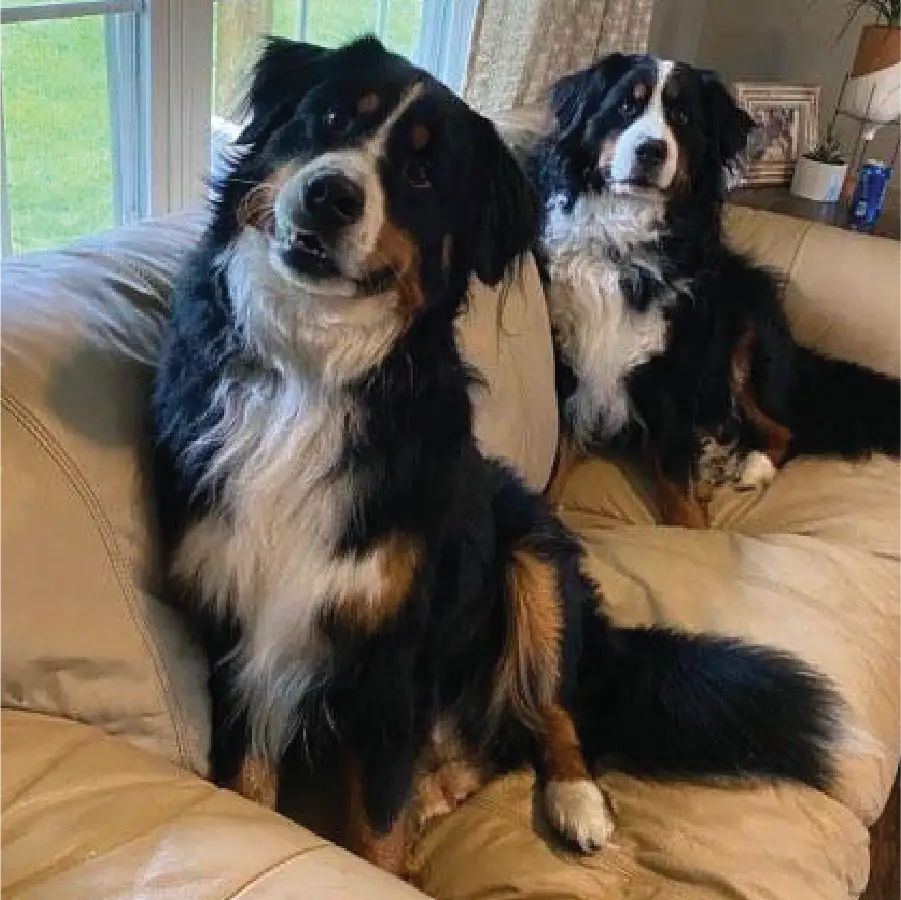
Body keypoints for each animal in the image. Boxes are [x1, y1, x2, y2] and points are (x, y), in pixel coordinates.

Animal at [153, 38, 836, 876]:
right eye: (331, 119)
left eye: (422, 174)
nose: (328, 195)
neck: (311, 371)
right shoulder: (240, 628)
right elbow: (251, 787)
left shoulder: (397, 660)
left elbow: (376, 825)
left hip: (534, 555)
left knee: (552, 710)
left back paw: (574, 801)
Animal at [528, 52, 901, 524]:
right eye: (626, 106)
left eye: (682, 117)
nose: (651, 150)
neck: (622, 242)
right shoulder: (568, 364)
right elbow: (556, 457)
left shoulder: (674, 372)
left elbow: (675, 477)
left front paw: (689, 524)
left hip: (748, 335)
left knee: (785, 428)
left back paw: (750, 465)